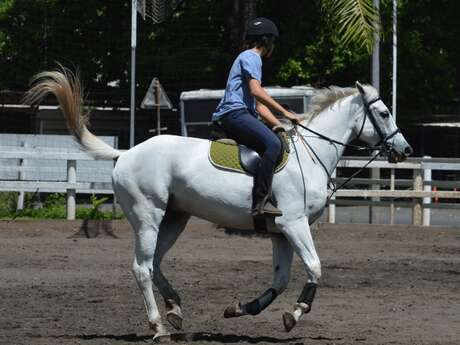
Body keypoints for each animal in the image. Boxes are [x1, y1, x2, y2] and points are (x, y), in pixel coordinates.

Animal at [24, 68, 414, 338]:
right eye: (383, 113)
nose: (405, 149)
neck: (311, 153)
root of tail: (126, 153)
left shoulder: (280, 232)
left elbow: (280, 279)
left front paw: (241, 309)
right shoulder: (293, 224)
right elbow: (315, 267)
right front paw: (296, 312)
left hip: (175, 218)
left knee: (156, 264)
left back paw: (175, 310)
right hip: (149, 217)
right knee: (142, 268)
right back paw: (158, 326)